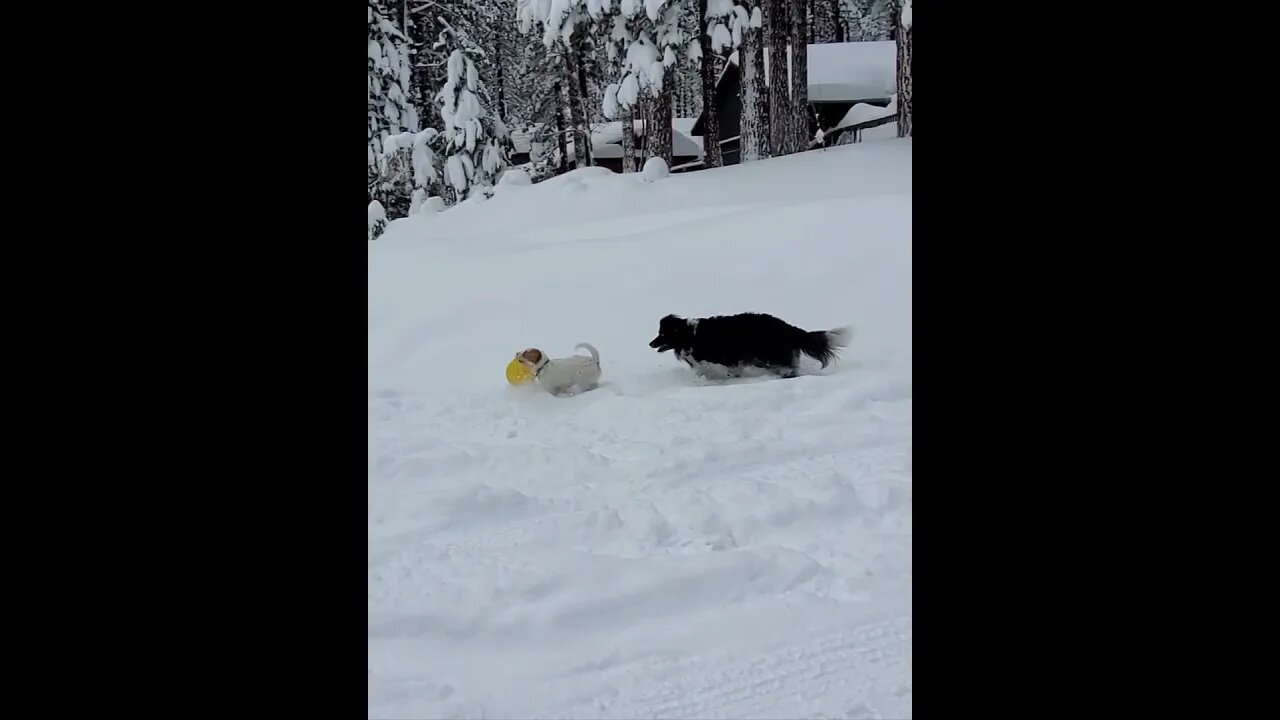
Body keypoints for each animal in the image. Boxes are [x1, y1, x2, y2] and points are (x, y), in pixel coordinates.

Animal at [650, 311, 849, 379]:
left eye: (662, 334)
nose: (651, 343)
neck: (689, 335)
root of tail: (785, 327)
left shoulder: (724, 359)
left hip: (768, 355)